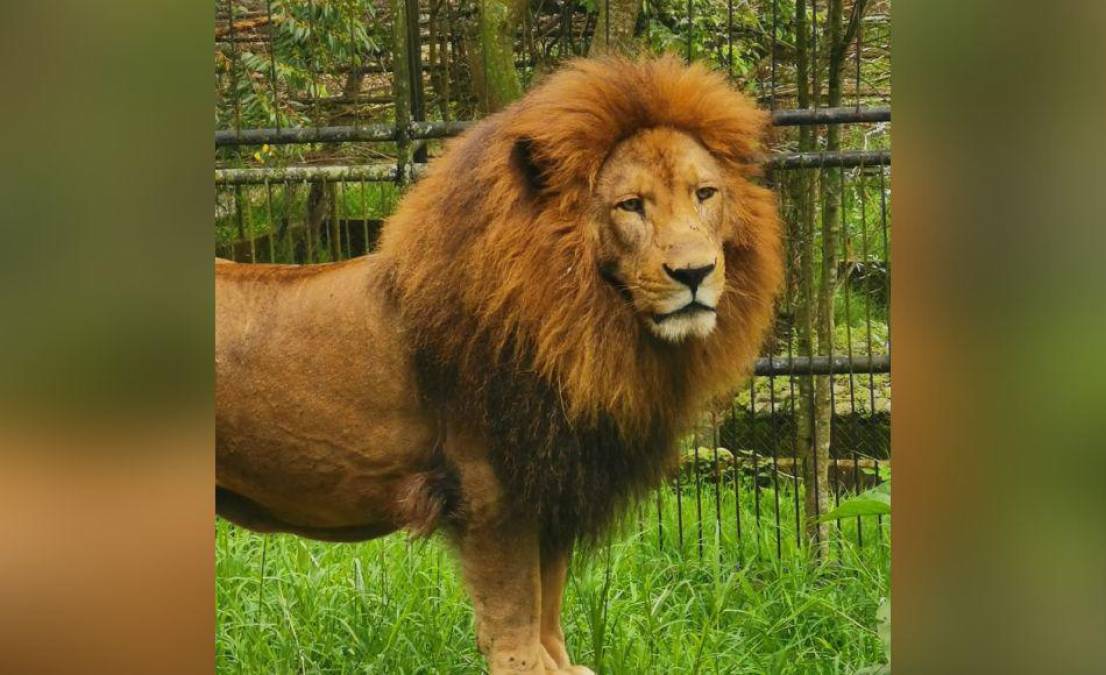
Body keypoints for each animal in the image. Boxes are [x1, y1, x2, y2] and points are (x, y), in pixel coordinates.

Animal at [215, 57, 783, 672]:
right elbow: (516, 618)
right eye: (631, 205)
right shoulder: (491, 491)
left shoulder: (554, 482)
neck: (587, 321)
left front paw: (564, 664)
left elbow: (548, 603)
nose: (695, 272)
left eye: (705, 194)